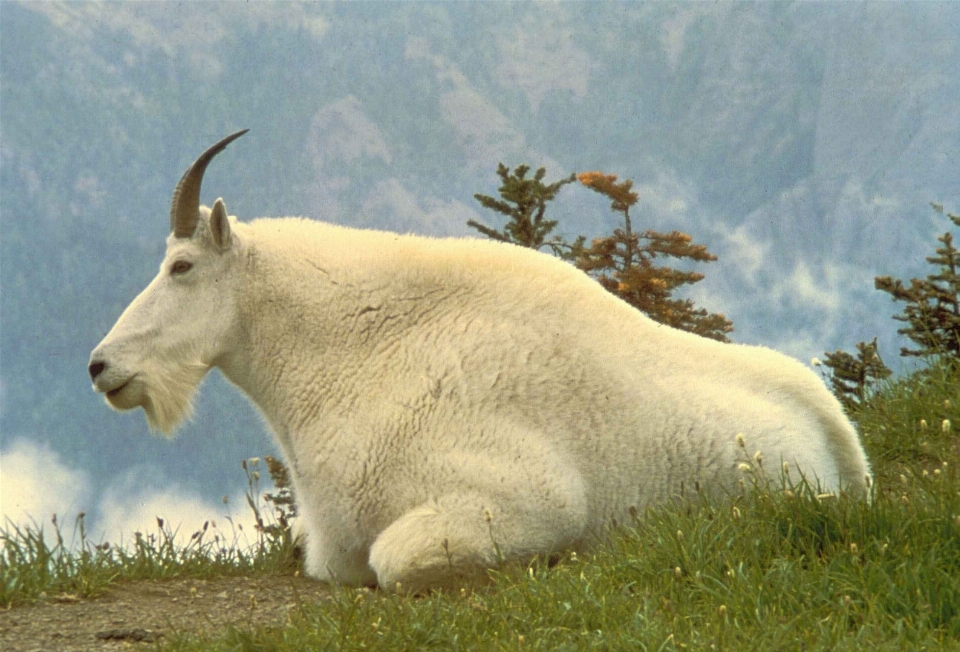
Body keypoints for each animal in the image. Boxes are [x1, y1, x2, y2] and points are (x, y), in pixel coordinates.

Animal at [88, 131, 872, 592]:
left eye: (182, 266)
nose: (101, 366)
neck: (357, 351)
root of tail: (839, 436)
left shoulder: (523, 497)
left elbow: (393, 562)